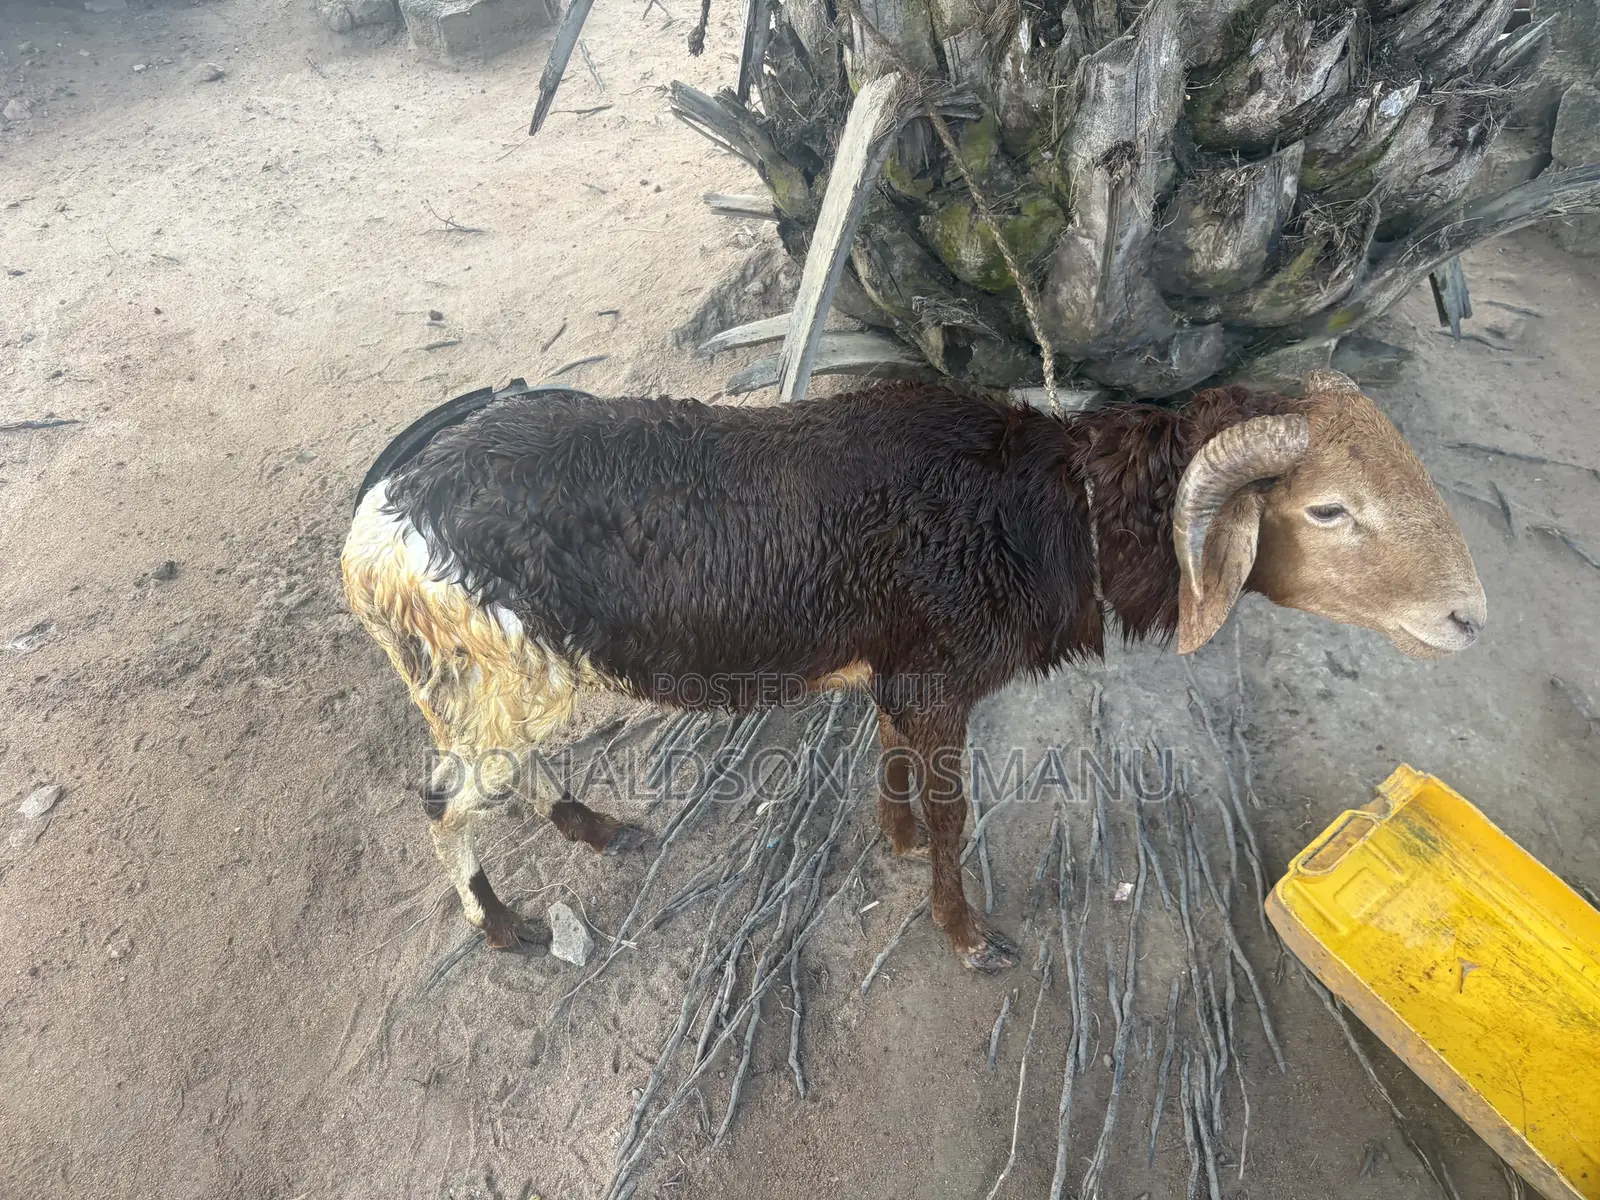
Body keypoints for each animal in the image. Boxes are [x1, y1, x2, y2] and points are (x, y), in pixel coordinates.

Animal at [341, 369, 1485, 972]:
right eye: (1328, 509)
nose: (1469, 616)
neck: (1045, 508)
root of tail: (377, 528)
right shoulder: (940, 683)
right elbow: (952, 812)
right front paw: (967, 933)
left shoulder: (898, 676)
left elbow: (890, 759)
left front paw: (887, 839)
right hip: (492, 679)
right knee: (444, 802)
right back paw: (507, 925)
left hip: (505, 683)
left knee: (502, 779)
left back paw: (599, 828)